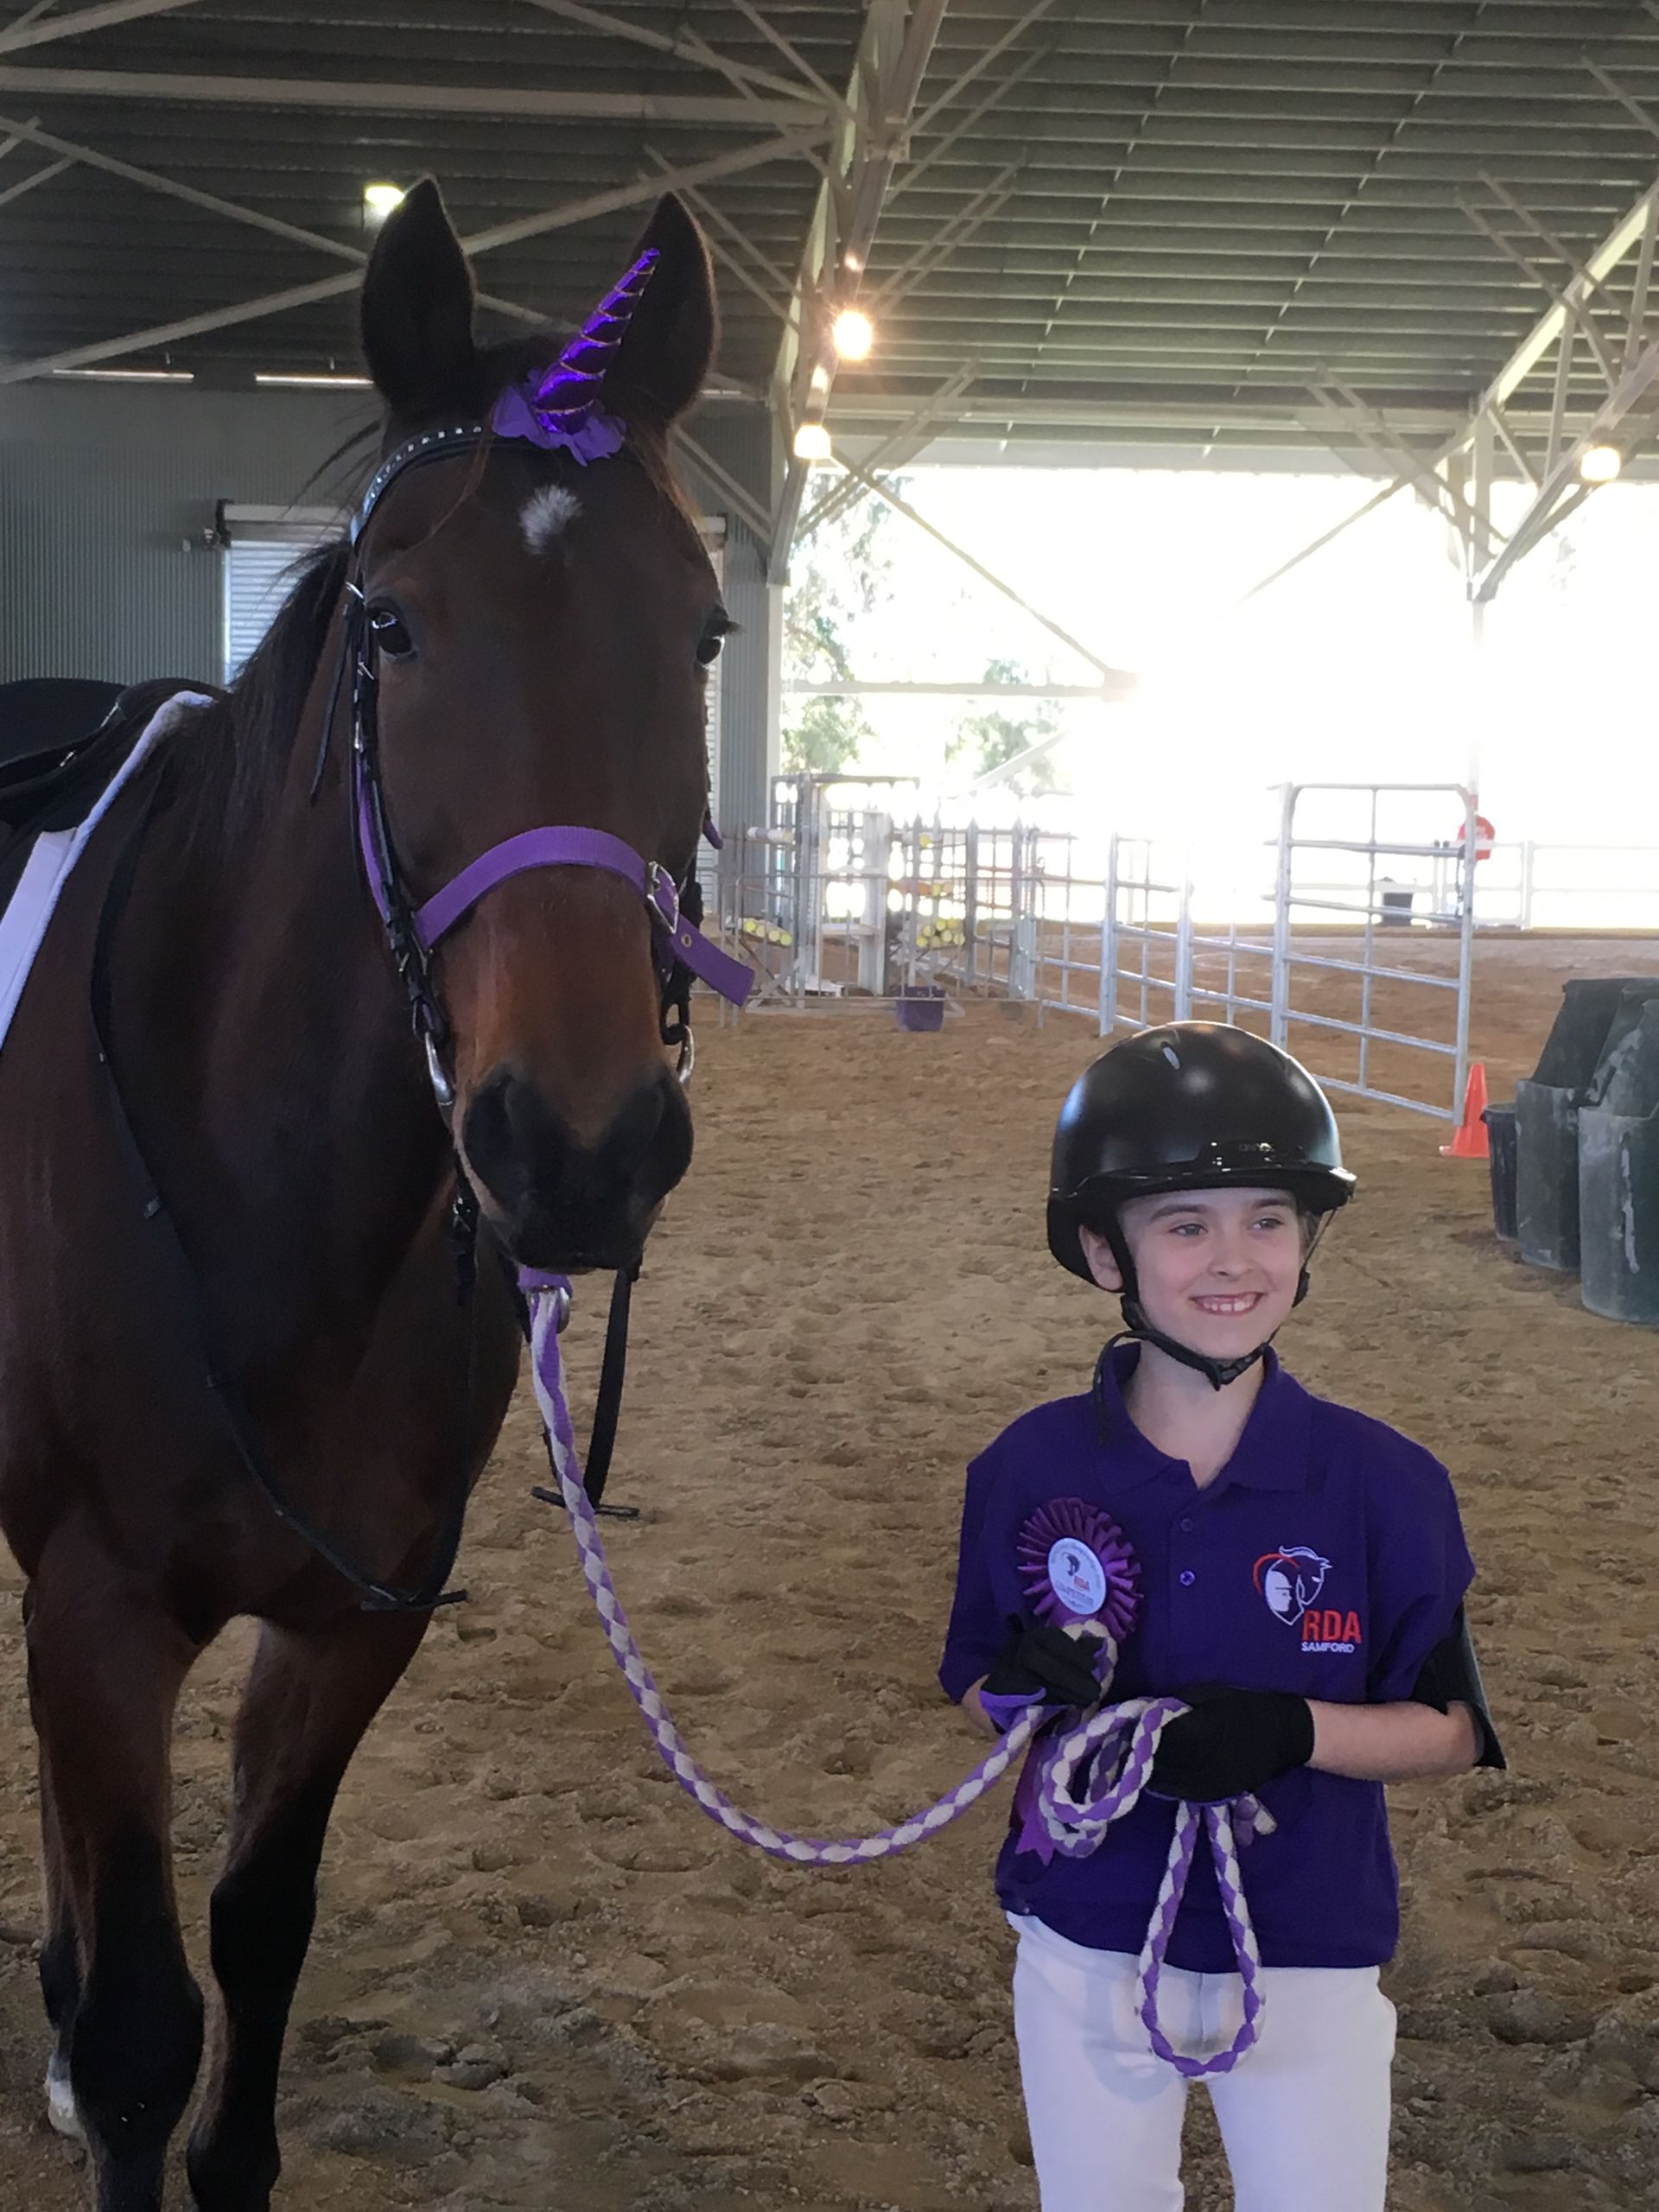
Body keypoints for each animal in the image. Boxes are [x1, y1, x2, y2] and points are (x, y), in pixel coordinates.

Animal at [0, 178, 736, 2212]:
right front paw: (99, 2048)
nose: (580, 1144)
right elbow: (148, 2022)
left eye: (708, 632)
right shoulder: (98, 1609)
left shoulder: (356, 1617)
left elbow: (255, 1940)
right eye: (394, 625)